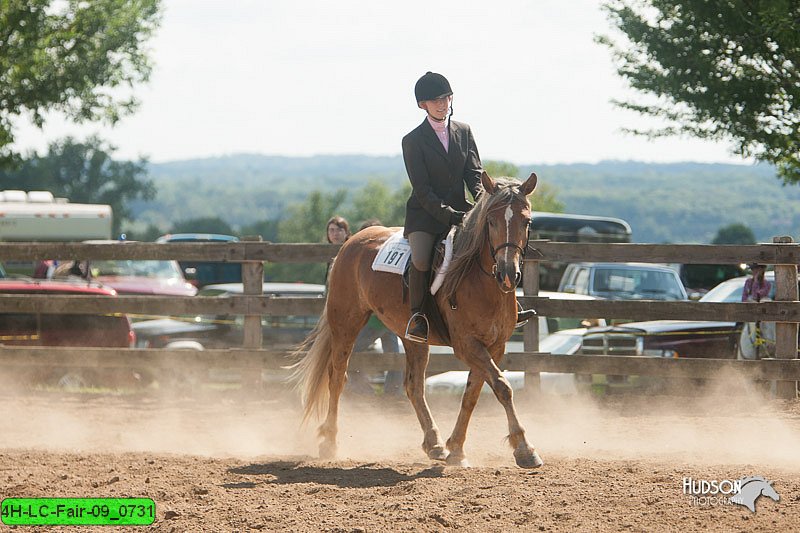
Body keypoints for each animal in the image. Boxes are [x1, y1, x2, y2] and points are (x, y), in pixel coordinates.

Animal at [292, 170, 544, 466]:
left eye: (527, 221)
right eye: (491, 222)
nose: (508, 274)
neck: (481, 281)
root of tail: (352, 241)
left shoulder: (494, 346)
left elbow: (473, 393)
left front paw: (456, 449)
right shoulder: (467, 345)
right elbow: (502, 387)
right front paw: (524, 448)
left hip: (412, 336)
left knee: (413, 386)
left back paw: (434, 444)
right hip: (346, 323)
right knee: (337, 377)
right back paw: (330, 442)